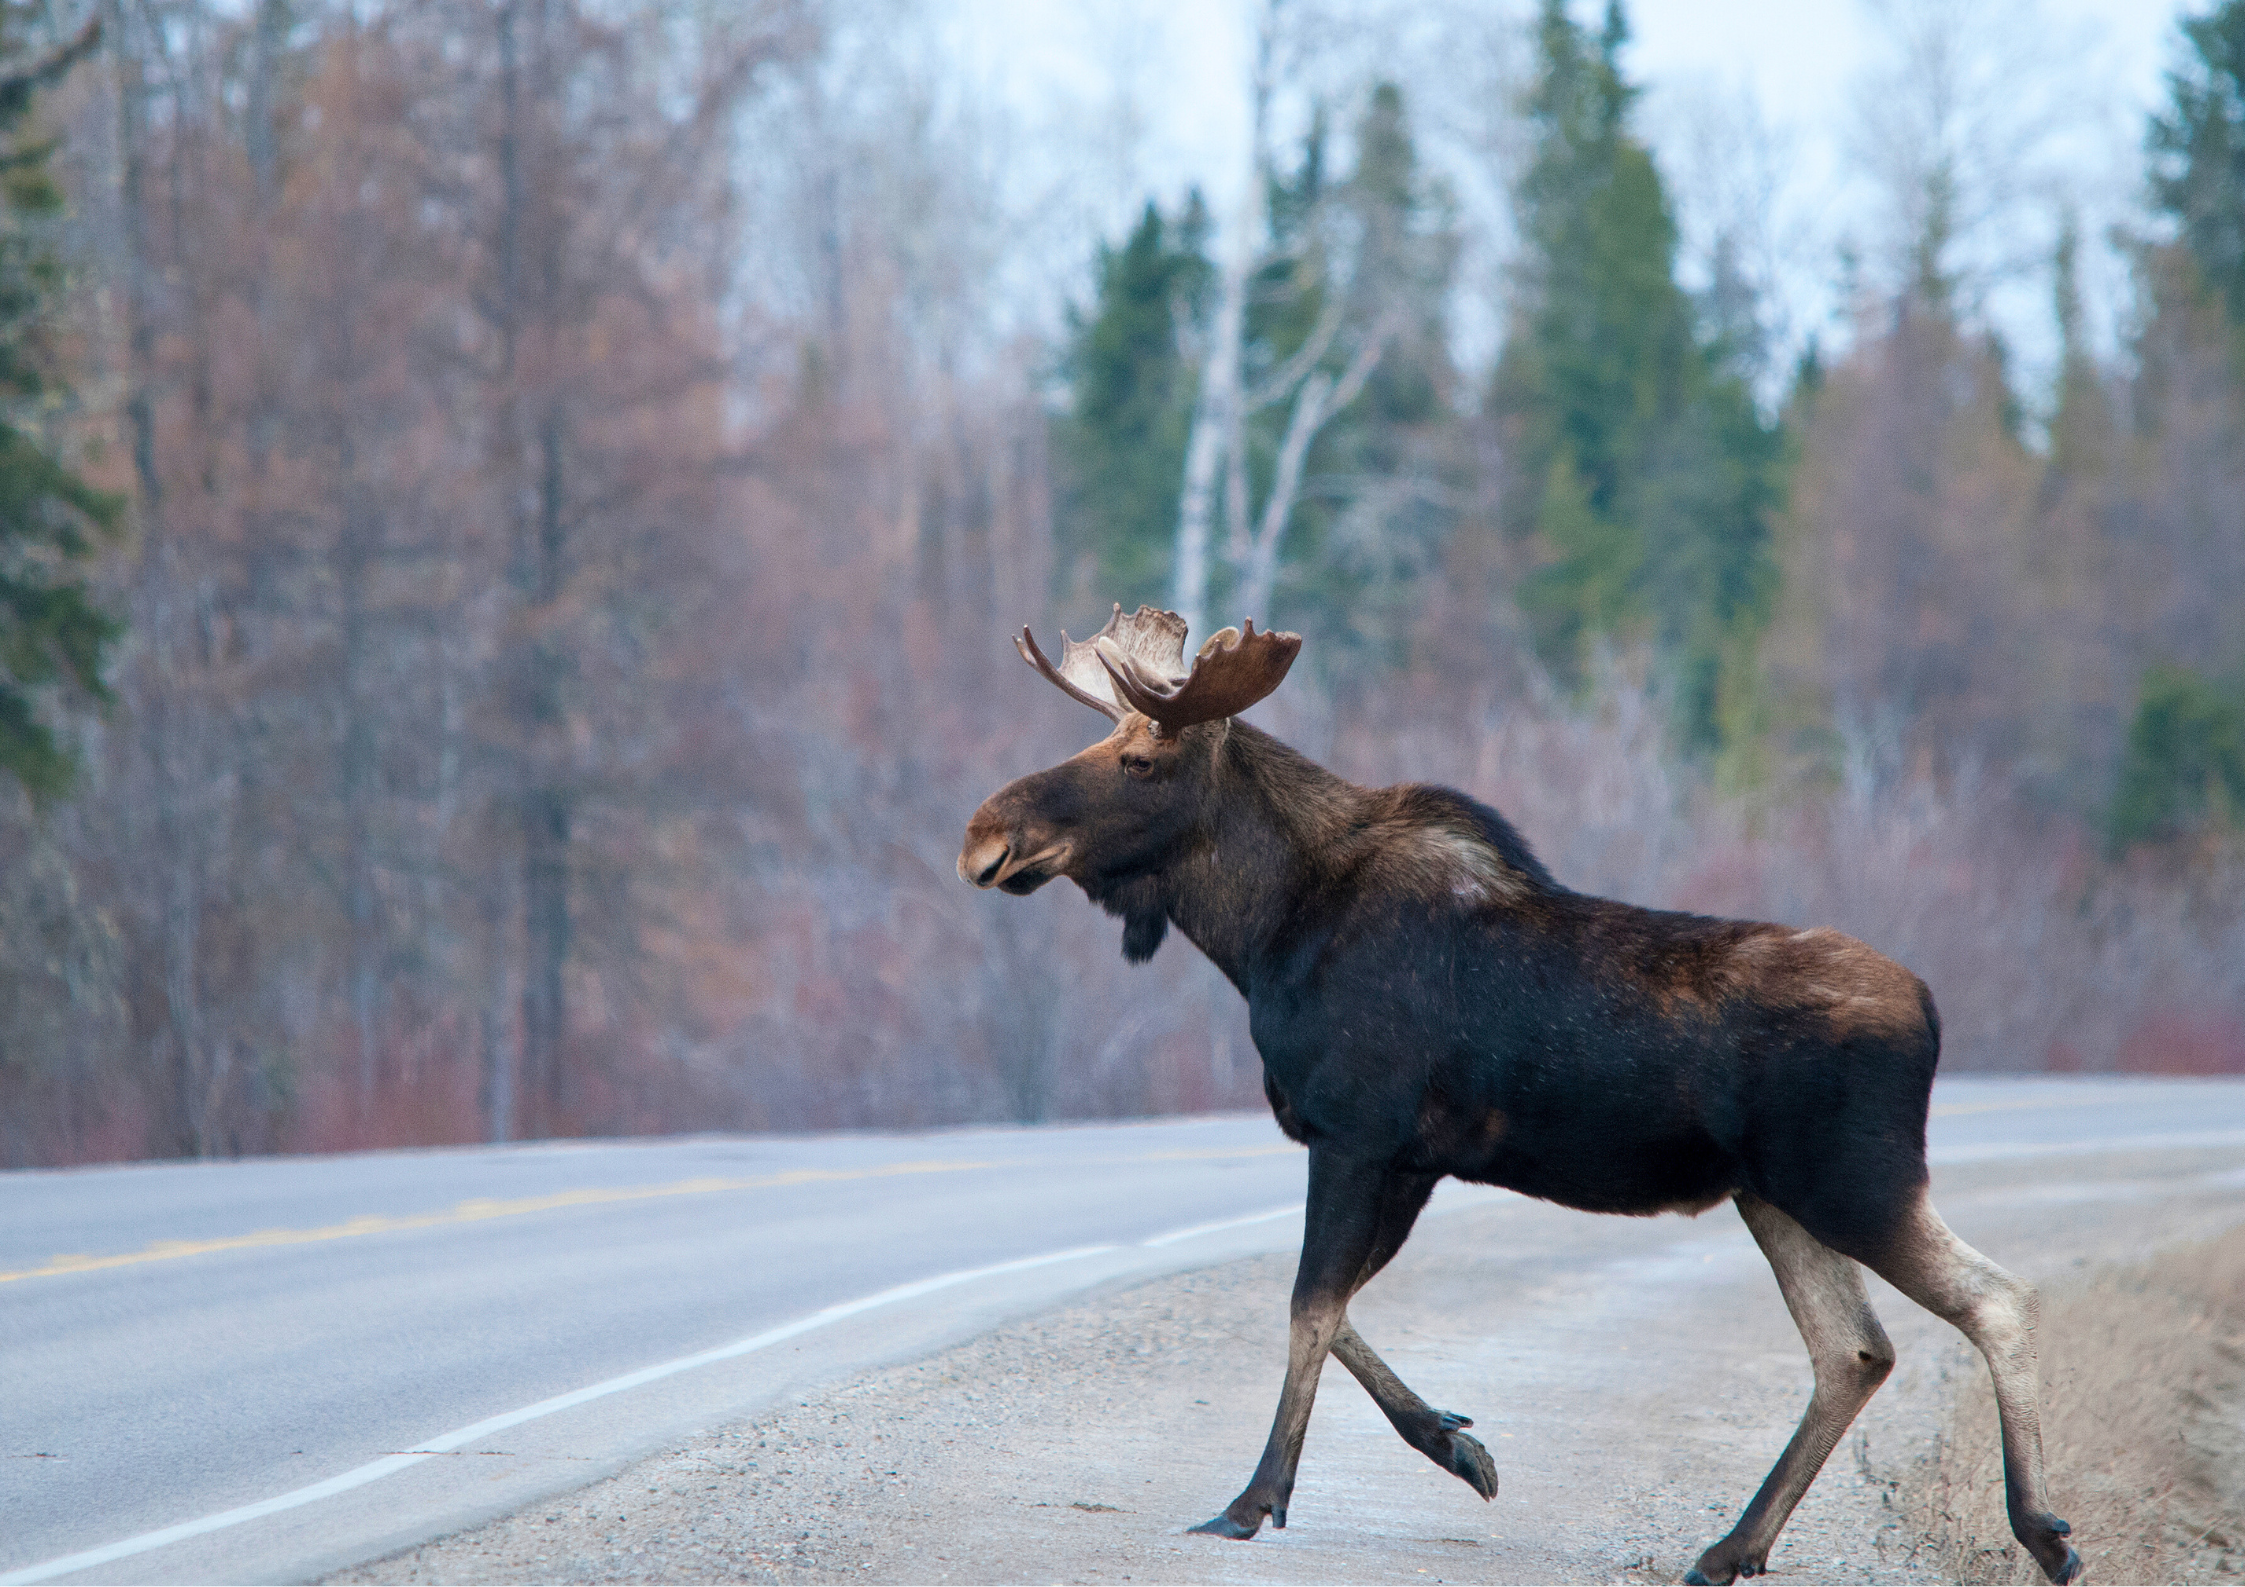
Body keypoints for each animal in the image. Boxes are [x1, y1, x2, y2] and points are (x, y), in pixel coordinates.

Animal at [951, 601, 2083, 1580]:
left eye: (1137, 760)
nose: (982, 836)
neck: (1261, 932)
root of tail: (1929, 1010)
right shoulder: (1407, 1157)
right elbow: (1333, 1303)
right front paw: (1456, 1443)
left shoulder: (1356, 1133)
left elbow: (1309, 1303)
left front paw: (1253, 1498)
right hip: (1773, 1194)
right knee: (1852, 1350)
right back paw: (1730, 1547)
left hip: (1853, 1178)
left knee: (1995, 1297)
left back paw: (2040, 1530)